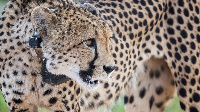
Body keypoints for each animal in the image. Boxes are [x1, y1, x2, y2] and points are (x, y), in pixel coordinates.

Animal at [0, 0, 199, 112]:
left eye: (108, 39)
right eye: (88, 42)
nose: (111, 68)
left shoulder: (67, 106)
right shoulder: (20, 105)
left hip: (192, 91)